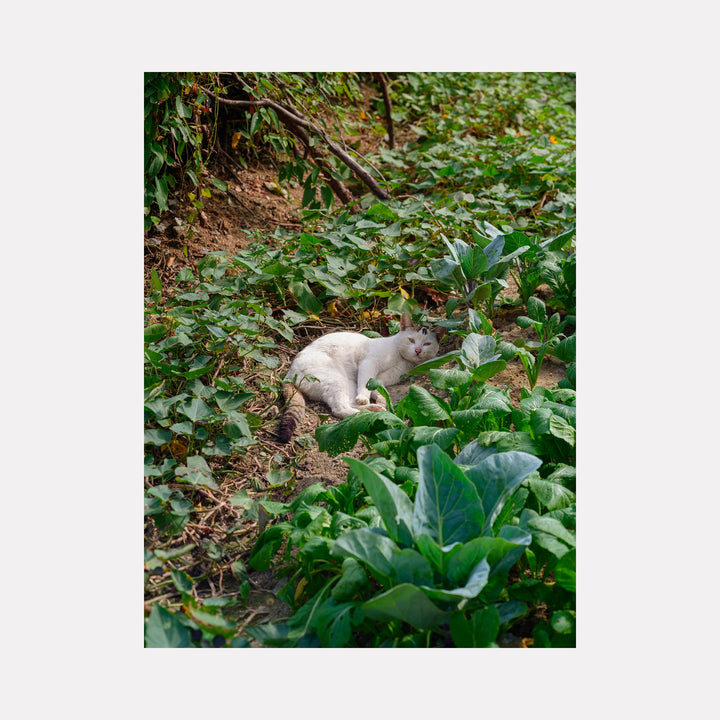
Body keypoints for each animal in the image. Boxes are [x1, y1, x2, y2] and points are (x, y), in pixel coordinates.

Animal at [280, 312, 444, 442]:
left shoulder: (386, 377)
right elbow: (366, 384)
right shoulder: (369, 364)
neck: (402, 359)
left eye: (427, 344)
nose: (417, 350)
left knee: (349, 404)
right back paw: (367, 413)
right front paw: (367, 398)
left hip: (349, 384)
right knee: (339, 409)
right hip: (336, 379)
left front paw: (381, 400)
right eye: (411, 340)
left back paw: (375, 409)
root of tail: (289, 373)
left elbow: (379, 389)